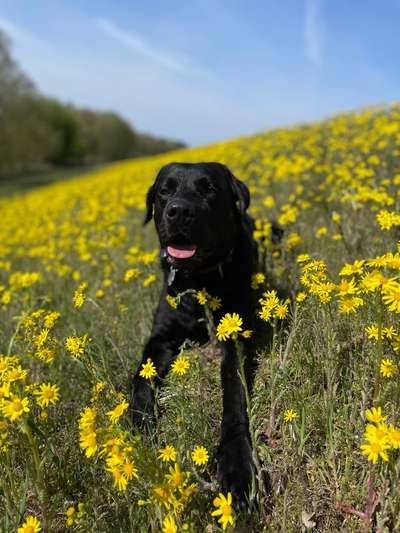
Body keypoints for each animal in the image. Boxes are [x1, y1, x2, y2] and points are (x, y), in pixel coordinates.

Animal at [130, 162, 274, 502]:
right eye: (164, 191)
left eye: (209, 189)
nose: (179, 211)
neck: (198, 282)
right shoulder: (161, 337)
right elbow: (141, 380)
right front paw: (141, 426)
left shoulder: (235, 339)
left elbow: (234, 396)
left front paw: (237, 467)